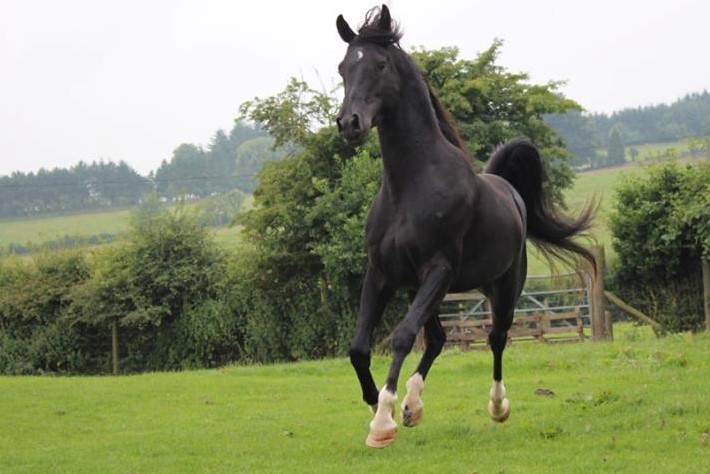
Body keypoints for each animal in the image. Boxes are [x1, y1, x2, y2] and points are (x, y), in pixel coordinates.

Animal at [335, 5, 595, 448]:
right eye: (343, 68)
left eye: (380, 64)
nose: (349, 124)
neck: (412, 185)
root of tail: (508, 189)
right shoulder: (384, 273)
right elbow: (359, 347)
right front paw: (377, 408)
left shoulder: (439, 270)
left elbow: (402, 336)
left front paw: (383, 422)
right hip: (422, 288)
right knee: (439, 338)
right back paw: (413, 406)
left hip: (502, 288)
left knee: (496, 338)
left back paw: (497, 407)